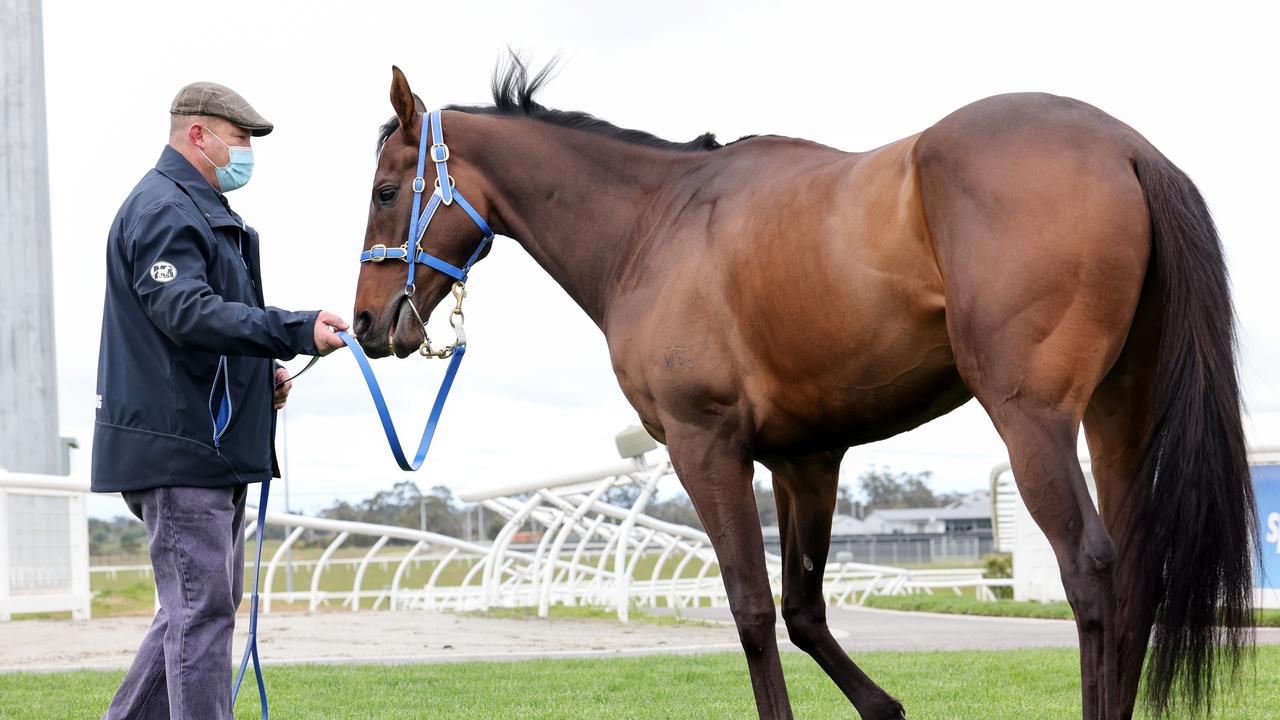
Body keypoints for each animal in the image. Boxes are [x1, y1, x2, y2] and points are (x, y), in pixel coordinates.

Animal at [350, 61, 1249, 717]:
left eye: (386, 191)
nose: (365, 321)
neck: (657, 222)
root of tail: (1125, 147)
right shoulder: (805, 460)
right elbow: (805, 611)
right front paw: (885, 708)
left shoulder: (705, 447)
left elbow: (752, 609)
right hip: (1118, 418)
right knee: (1136, 576)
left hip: (1034, 421)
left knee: (1090, 570)